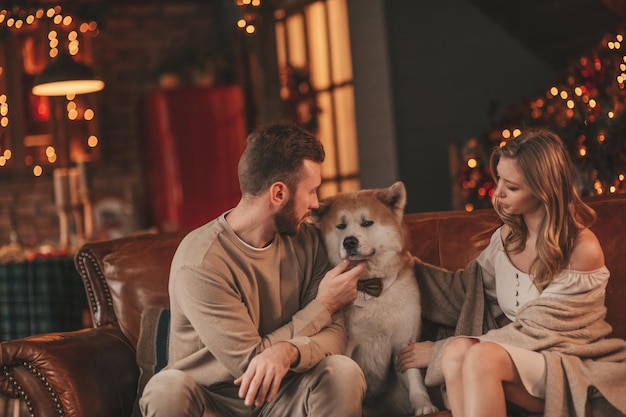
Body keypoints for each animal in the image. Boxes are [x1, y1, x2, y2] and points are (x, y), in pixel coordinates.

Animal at [310, 182, 436, 416]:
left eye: (367, 223)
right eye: (341, 226)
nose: (349, 242)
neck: (371, 287)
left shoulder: (404, 340)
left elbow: (414, 376)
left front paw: (423, 405)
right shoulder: (349, 343)